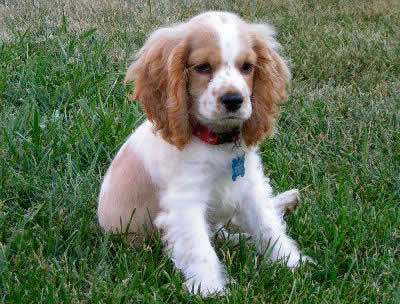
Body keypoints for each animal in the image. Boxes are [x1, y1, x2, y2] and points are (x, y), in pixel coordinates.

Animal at [97, 10, 312, 296]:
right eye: (202, 67)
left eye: (247, 67)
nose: (233, 100)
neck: (217, 143)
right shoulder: (185, 203)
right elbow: (200, 249)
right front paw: (211, 290)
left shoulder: (250, 186)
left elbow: (268, 225)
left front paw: (291, 263)